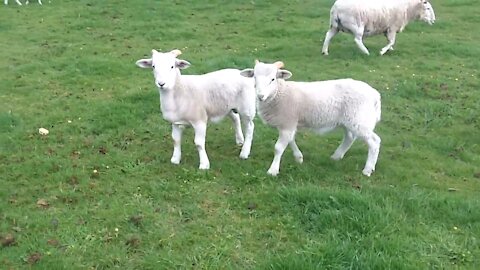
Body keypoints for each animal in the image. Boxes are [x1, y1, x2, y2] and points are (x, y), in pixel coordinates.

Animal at [240, 60, 382, 176]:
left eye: (273, 79)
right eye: (254, 77)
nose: (260, 96)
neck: (279, 93)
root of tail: (375, 95)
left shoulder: (287, 123)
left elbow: (278, 148)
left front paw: (273, 170)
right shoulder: (289, 124)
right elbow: (291, 140)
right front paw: (299, 158)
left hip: (359, 119)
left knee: (374, 141)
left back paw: (367, 170)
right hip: (349, 120)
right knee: (349, 137)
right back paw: (336, 157)